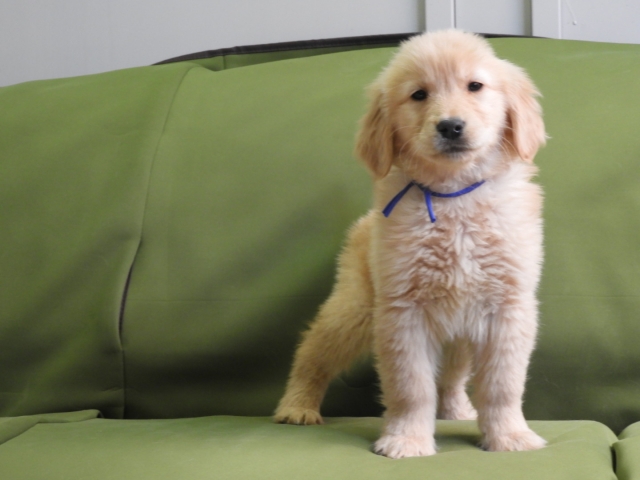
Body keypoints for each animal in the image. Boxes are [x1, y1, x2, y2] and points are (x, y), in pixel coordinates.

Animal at [274, 30, 547, 458]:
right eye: (419, 94)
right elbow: (411, 387)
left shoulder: (509, 308)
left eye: (475, 86)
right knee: (312, 351)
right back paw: (297, 405)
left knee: (451, 378)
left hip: (459, 336)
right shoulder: (403, 311)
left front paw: (509, 436)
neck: (453, 198)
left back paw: (456, 410)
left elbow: (502, 385)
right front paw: (407, 440)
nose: (451, 126)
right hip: (354, 310)